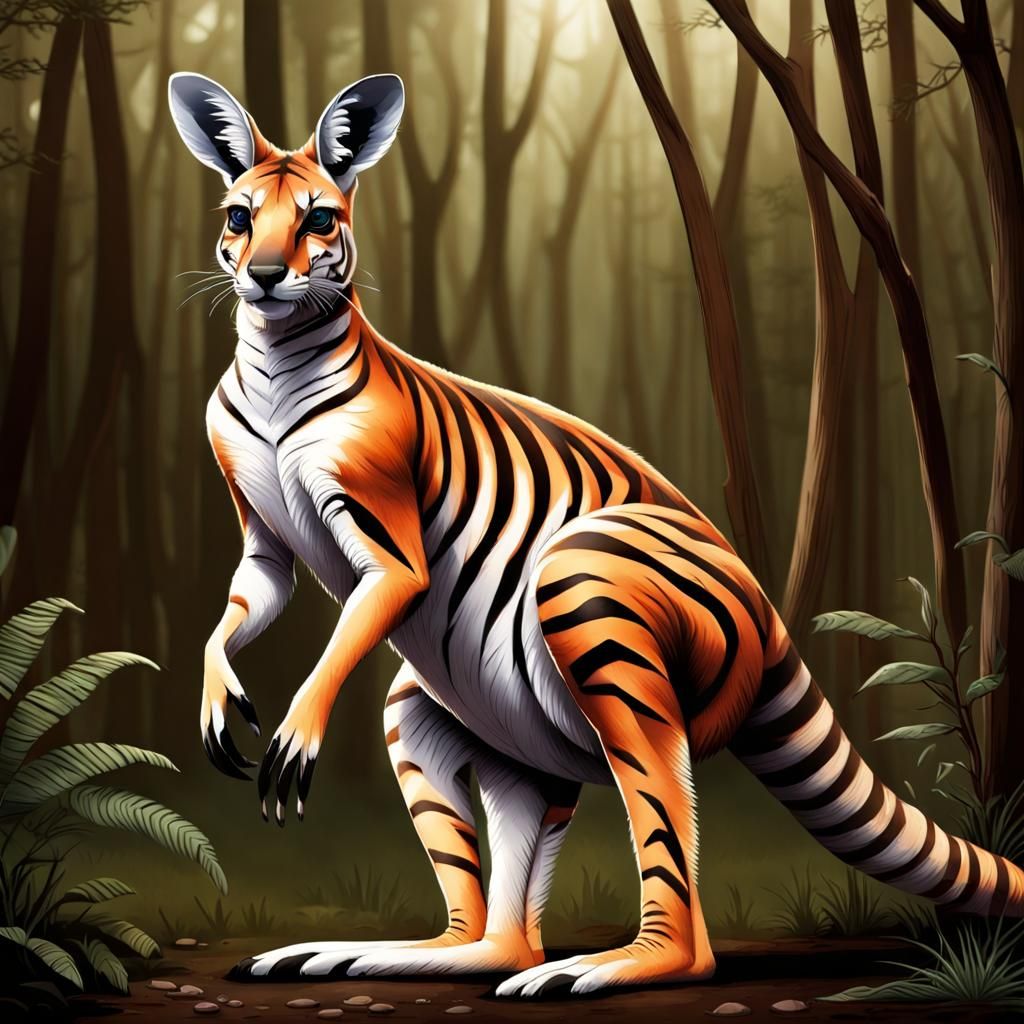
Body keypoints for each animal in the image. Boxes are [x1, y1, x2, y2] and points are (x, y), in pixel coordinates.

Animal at [167, 71, 1024, 998]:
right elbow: (246, 602)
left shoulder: (390, 535)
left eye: (320, 220)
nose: (262, 277)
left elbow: (369, 605)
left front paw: (295, 731)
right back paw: (371, 954)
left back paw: (607, 967)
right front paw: (217, 698)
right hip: (456, 715)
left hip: (588, 585)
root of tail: (771, 619)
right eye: (239, 215)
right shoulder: (262, 536)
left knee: (671, 887)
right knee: (501, 931)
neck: (275, 360)